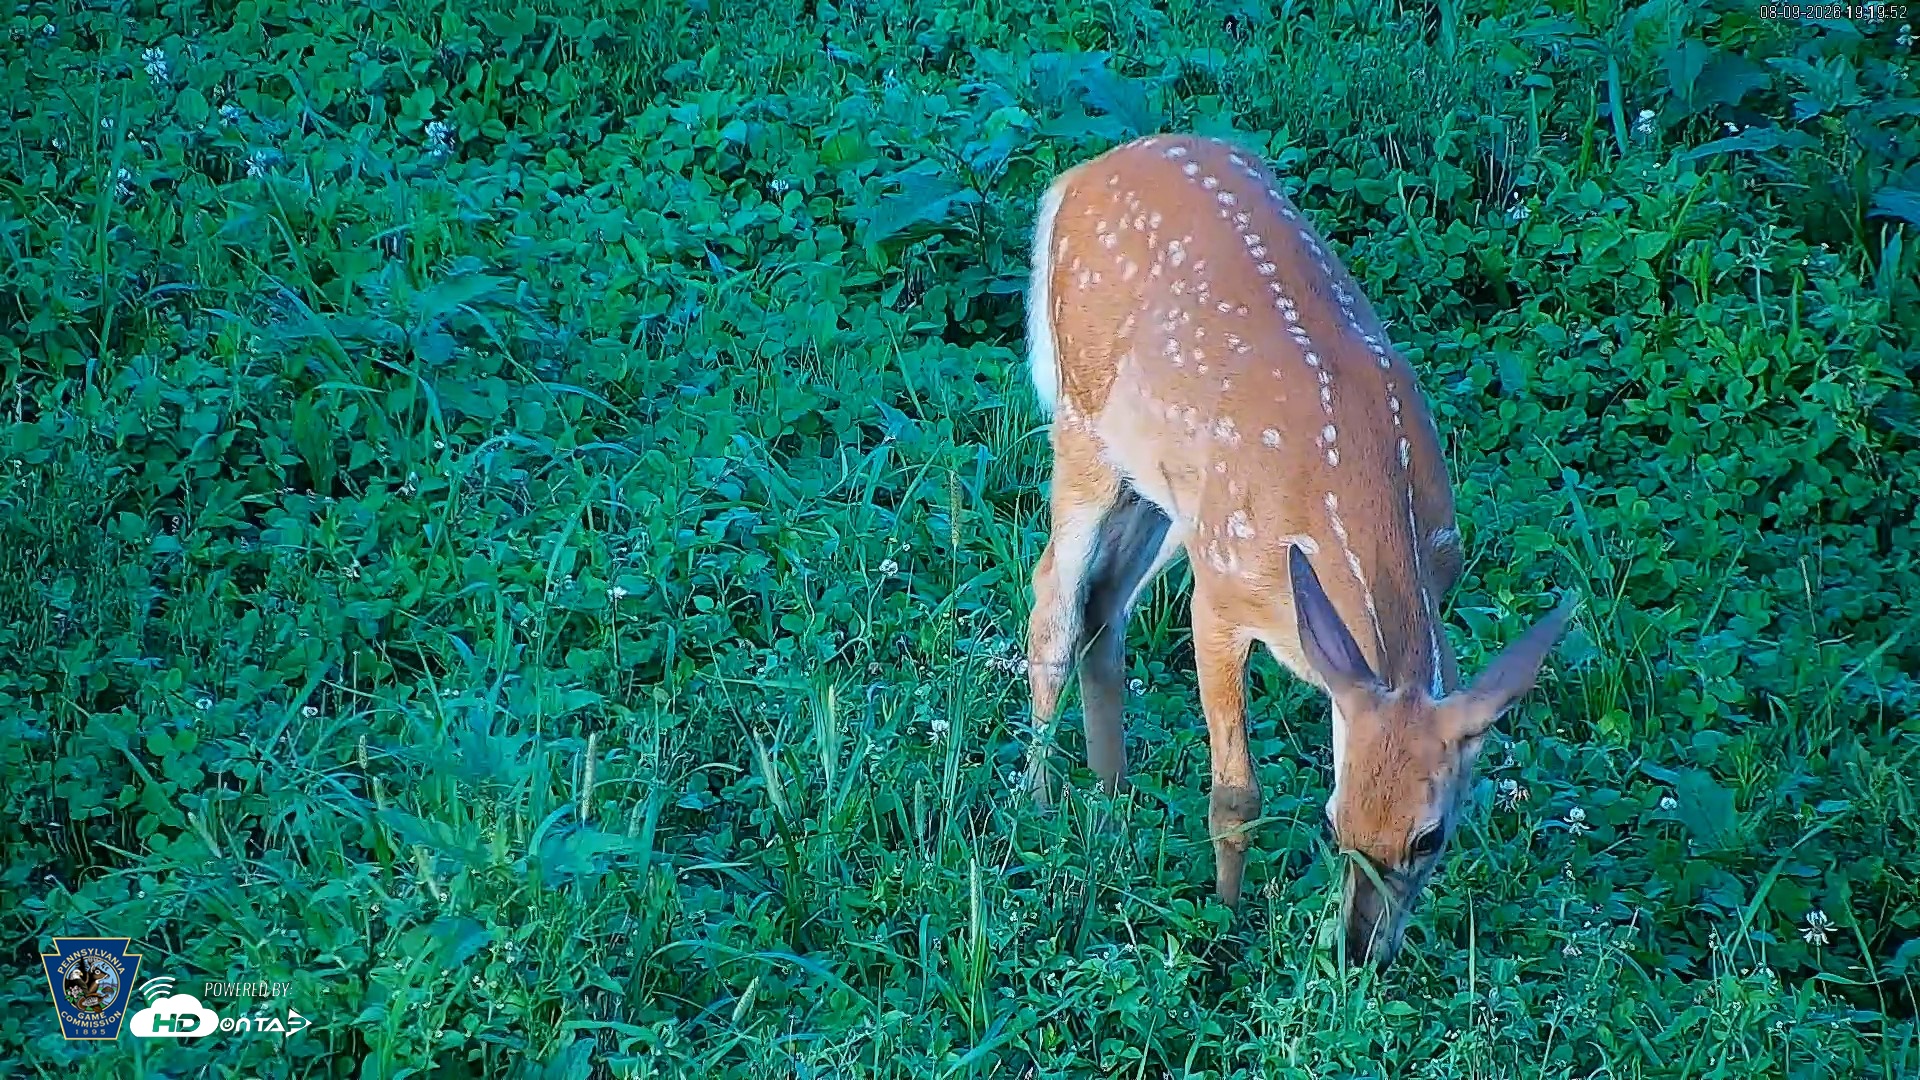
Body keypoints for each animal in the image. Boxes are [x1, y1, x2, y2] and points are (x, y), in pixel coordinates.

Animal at [1020, 134, 1574, 969]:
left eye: (1430, 838)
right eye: (1333, 822)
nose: (1360, 949)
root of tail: (1077, 176)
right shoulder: (1219, 597)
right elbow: (1236, 791)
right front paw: (1224, 919)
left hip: (1170, 500)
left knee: (1103, 607)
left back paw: (1110, 805)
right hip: (1084, 426)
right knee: (1052, 601)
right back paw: (1038, 809)